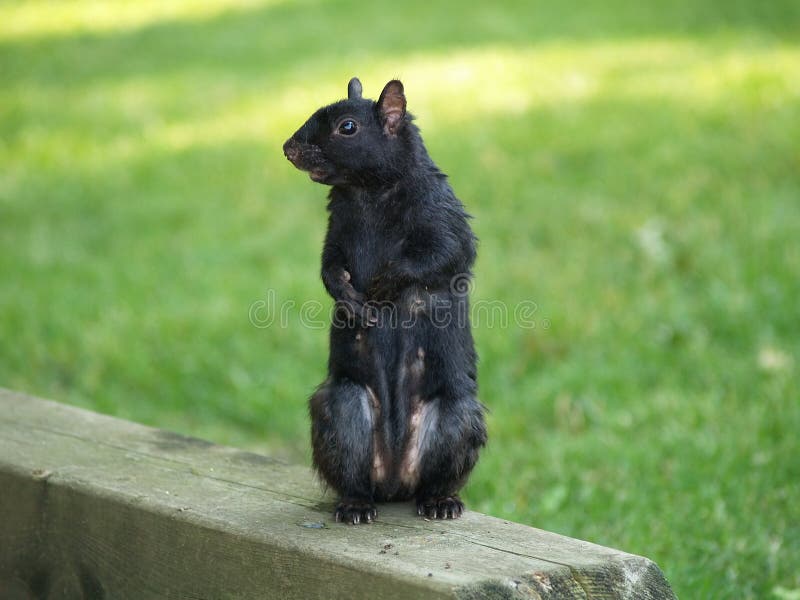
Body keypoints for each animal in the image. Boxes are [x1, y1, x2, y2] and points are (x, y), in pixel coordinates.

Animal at [286, 77, 488, 524]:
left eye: (347, 127)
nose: (288, 148)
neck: (368, 192)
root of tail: (395, 479)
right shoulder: (336, 229)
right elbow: (329, 265)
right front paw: (346, 294)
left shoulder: (443, 216)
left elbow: (440, 256)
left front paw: (383, 285)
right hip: (342, 411)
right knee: (354, 475)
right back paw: (356, 504)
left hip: (455, 419)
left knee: (436, 478)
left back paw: (440, 501)